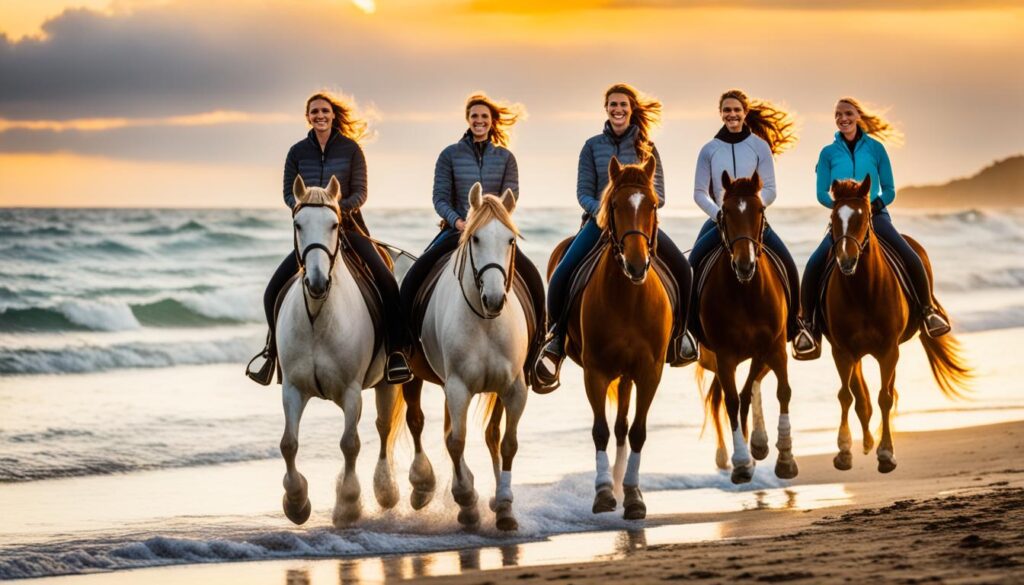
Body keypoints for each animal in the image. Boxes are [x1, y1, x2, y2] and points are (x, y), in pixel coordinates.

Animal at [276, 176, 415, 528]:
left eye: (334, 224)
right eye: (298, 224)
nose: (316, 282)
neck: (317, 316)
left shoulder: (352, 391)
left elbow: (350, 444)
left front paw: (349, 504)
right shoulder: (292, 388)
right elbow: (288, 444)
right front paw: (296, 503)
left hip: (387, 382)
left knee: (383, 428)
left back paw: (386, 491)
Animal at [417, 185, 532, 532]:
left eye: (510, 240)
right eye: (476, 238)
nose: (494, 299)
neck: (485, 321)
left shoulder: (514, 388)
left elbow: (507, 442)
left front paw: (505, 506)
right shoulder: (457, 387)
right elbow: (456, 441)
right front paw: (467, 502)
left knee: (491, 435)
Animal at [544, 156, 671, 522]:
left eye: (653, 204)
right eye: (614, 205)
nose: (636, 264)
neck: (628, 299)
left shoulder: (649, 372)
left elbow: (638, 431)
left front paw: (634, 496)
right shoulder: (595, 371)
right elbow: (599, 430)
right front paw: (603, 493)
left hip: (628, 374)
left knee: (623, 426)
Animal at [704, 170, 798, 485]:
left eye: (759, 210)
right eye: (726, 211)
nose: (744, 265)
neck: (746, 292)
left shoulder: (772, 347)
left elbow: (778, 391)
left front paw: (784, 459)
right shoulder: (724, 356)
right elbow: (733, 401)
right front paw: (742, 463)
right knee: (719, 399)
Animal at [819, 176, 970, 473]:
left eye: (863, 217)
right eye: (833, 217)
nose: (846, 260)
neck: (862, 290)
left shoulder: (889, 350)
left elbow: (885, 397)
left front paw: (886, 453)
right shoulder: (841, 351)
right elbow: (847, 396)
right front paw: (844, 451)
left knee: (885, 391)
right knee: (860, 396)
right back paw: (866, 441)